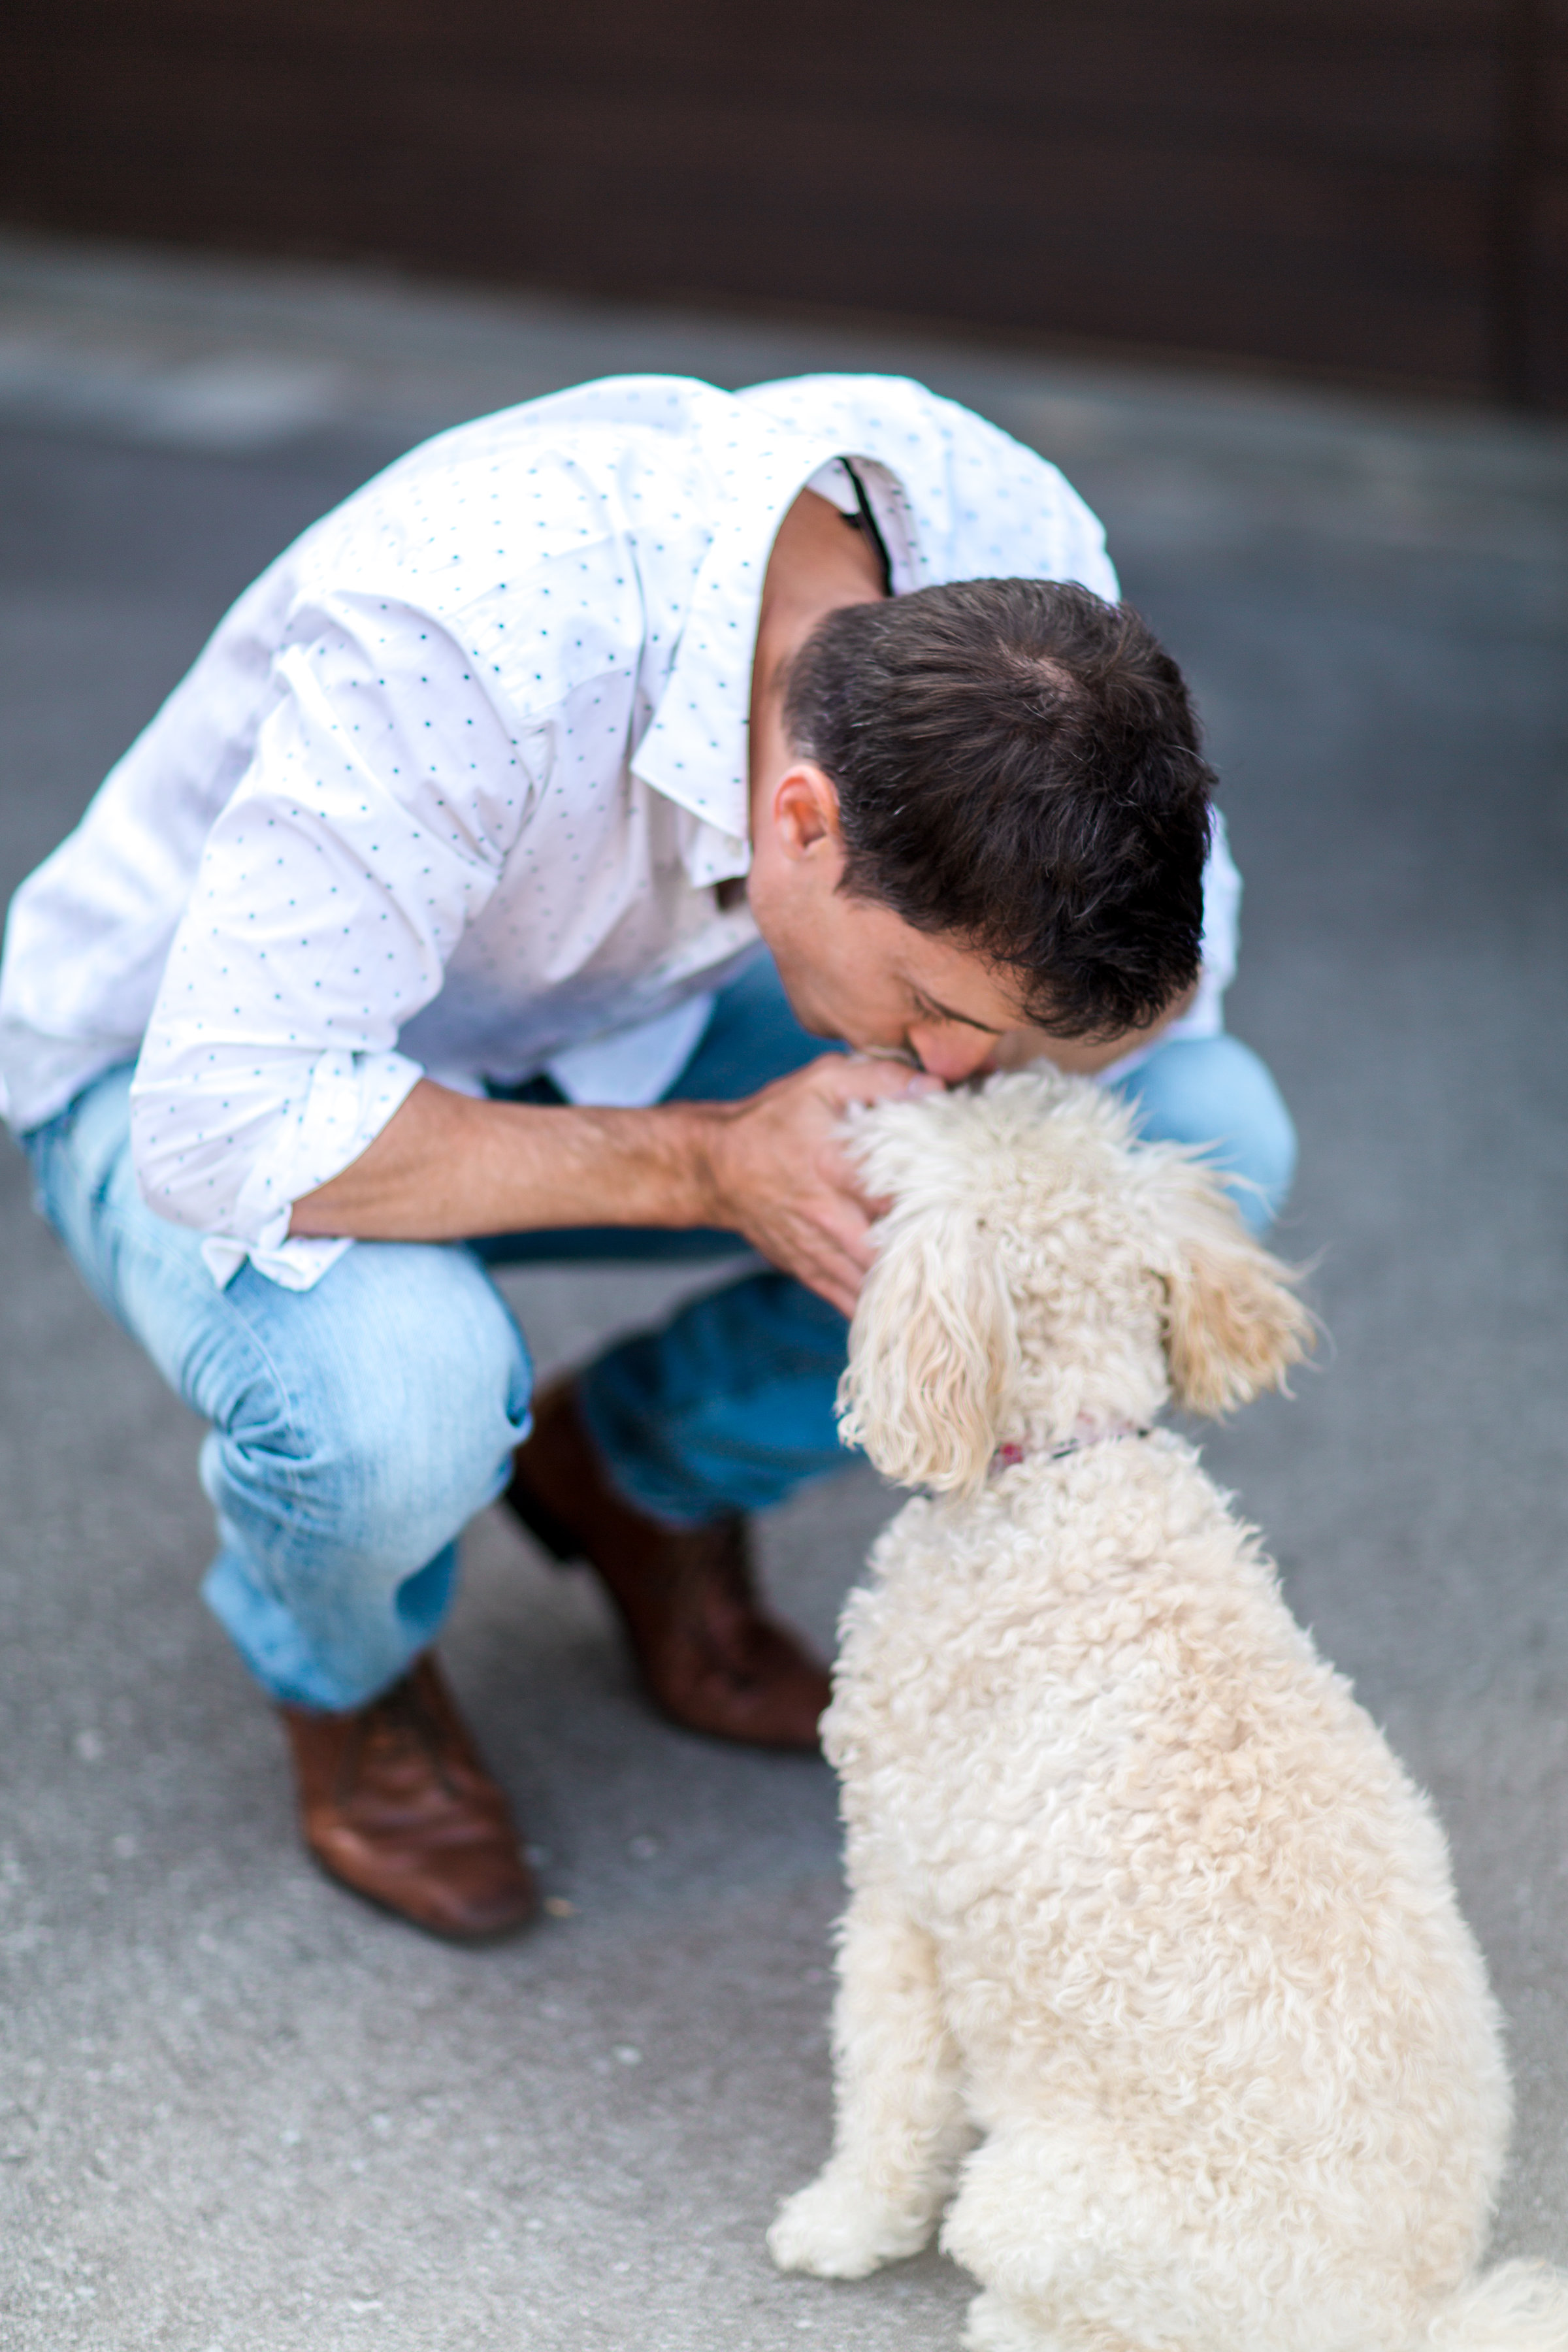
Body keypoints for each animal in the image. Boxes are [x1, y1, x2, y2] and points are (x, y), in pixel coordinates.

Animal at [766, 1072, 1561, 2352]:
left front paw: (840, 2227)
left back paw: (1004, 2323)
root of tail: (1402, 2316)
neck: (1066, 1469)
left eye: (968, 1108)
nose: (912, 1074)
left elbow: (886, 2098)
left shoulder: (899, 1893)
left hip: (1036, 2200)